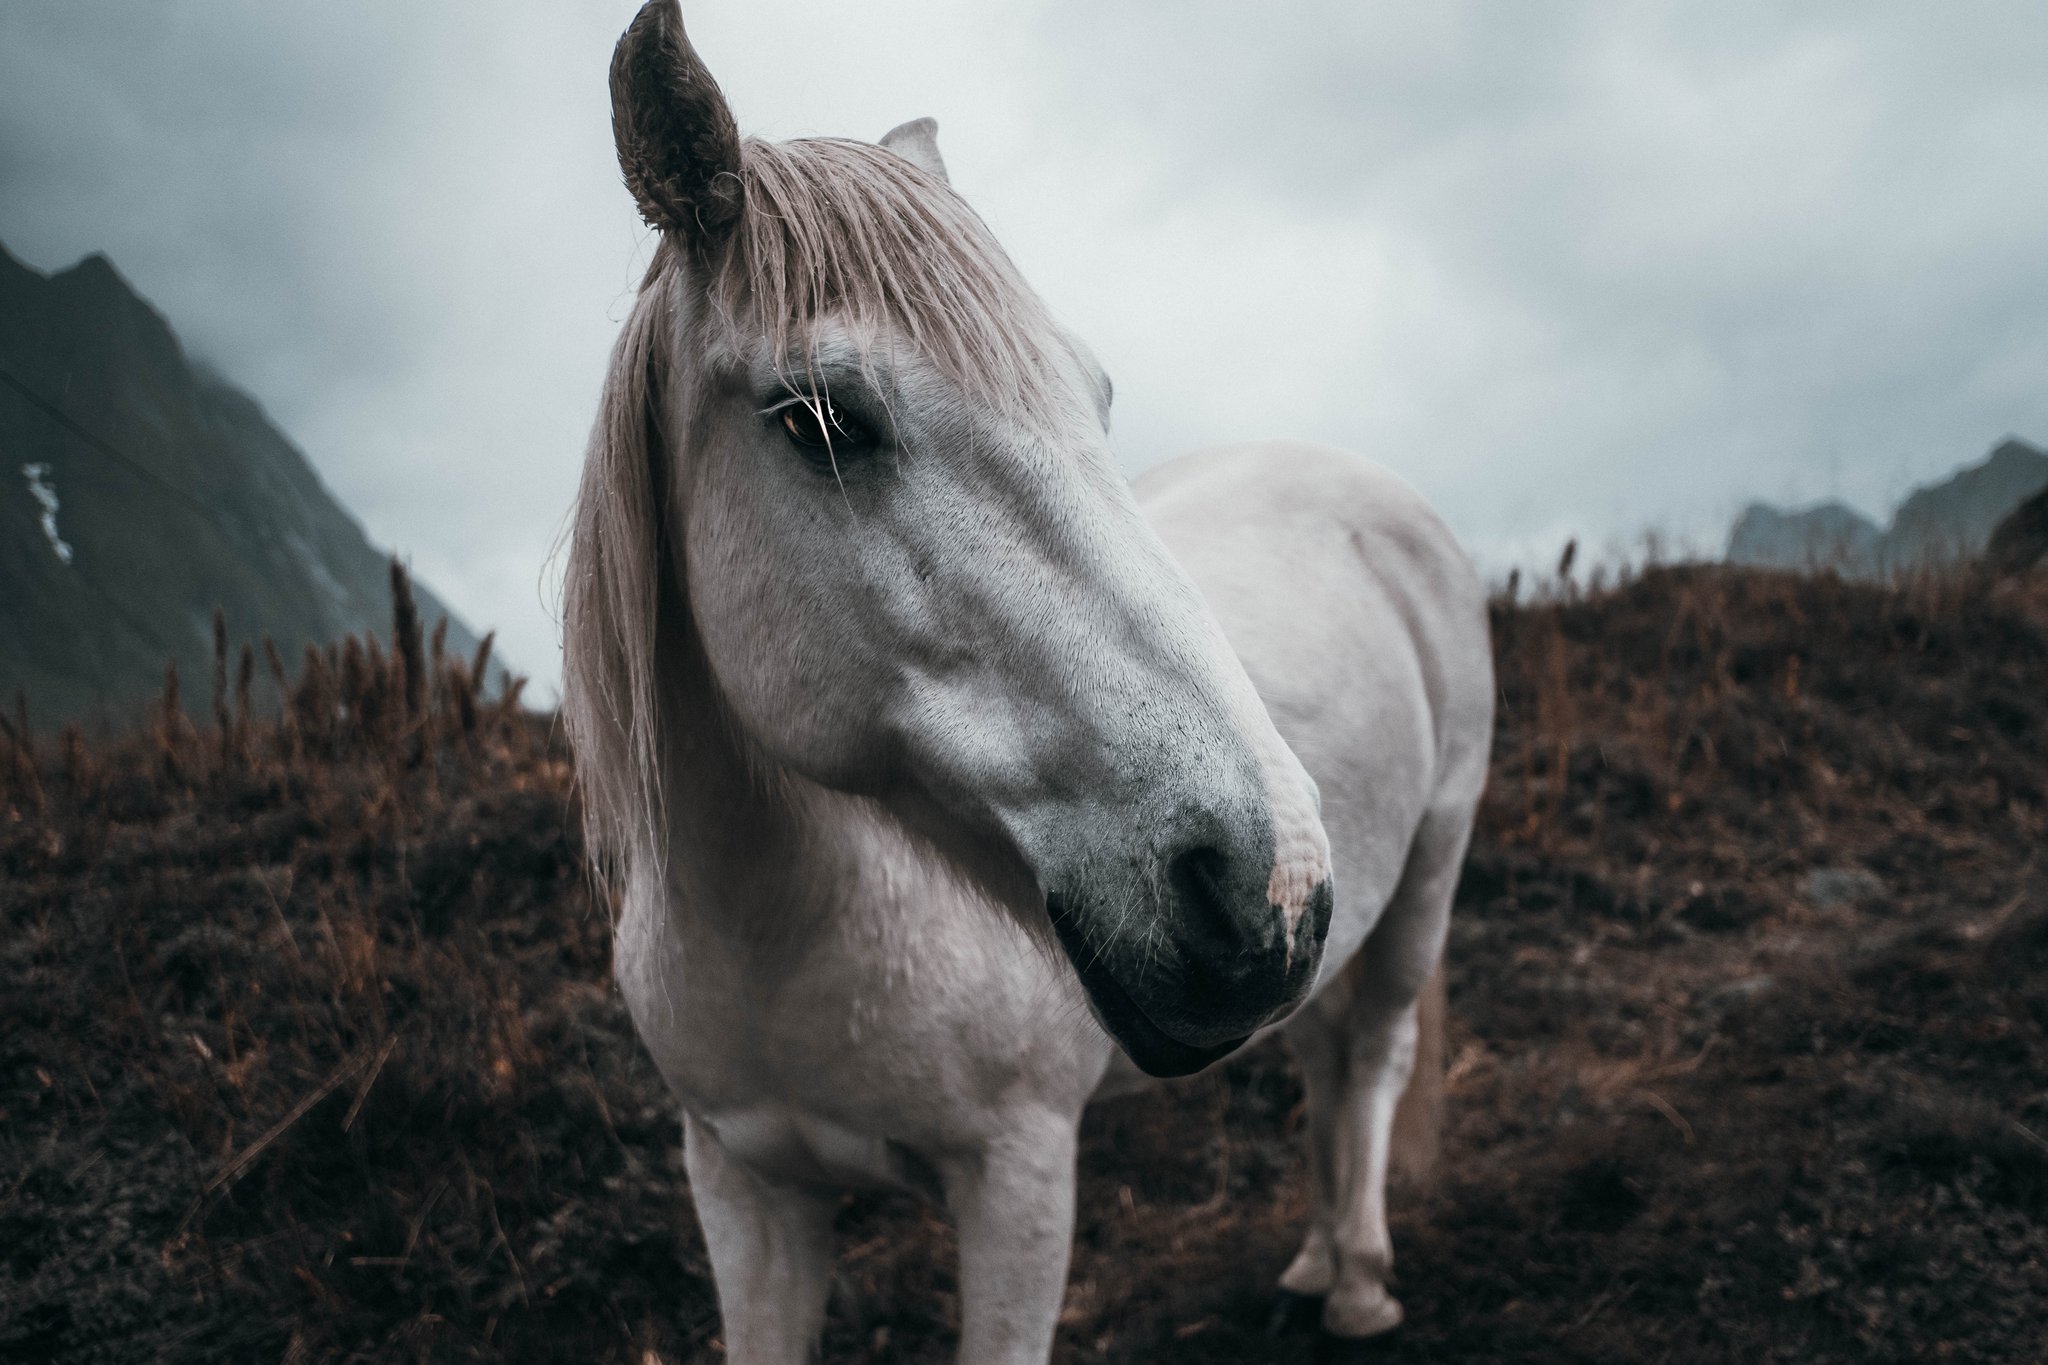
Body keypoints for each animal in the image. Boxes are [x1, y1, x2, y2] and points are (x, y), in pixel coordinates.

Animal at [561, 4, 1494, 1360]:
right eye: (819, 421)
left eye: (1095, 396)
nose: (1261, 887)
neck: (791, 934)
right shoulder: (744, 1191)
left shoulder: (1019, 1180)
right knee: (1322, 1052)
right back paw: (1316, 1261)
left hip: (1429, 859)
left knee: (1372, 1047)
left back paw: (1361, 1280)